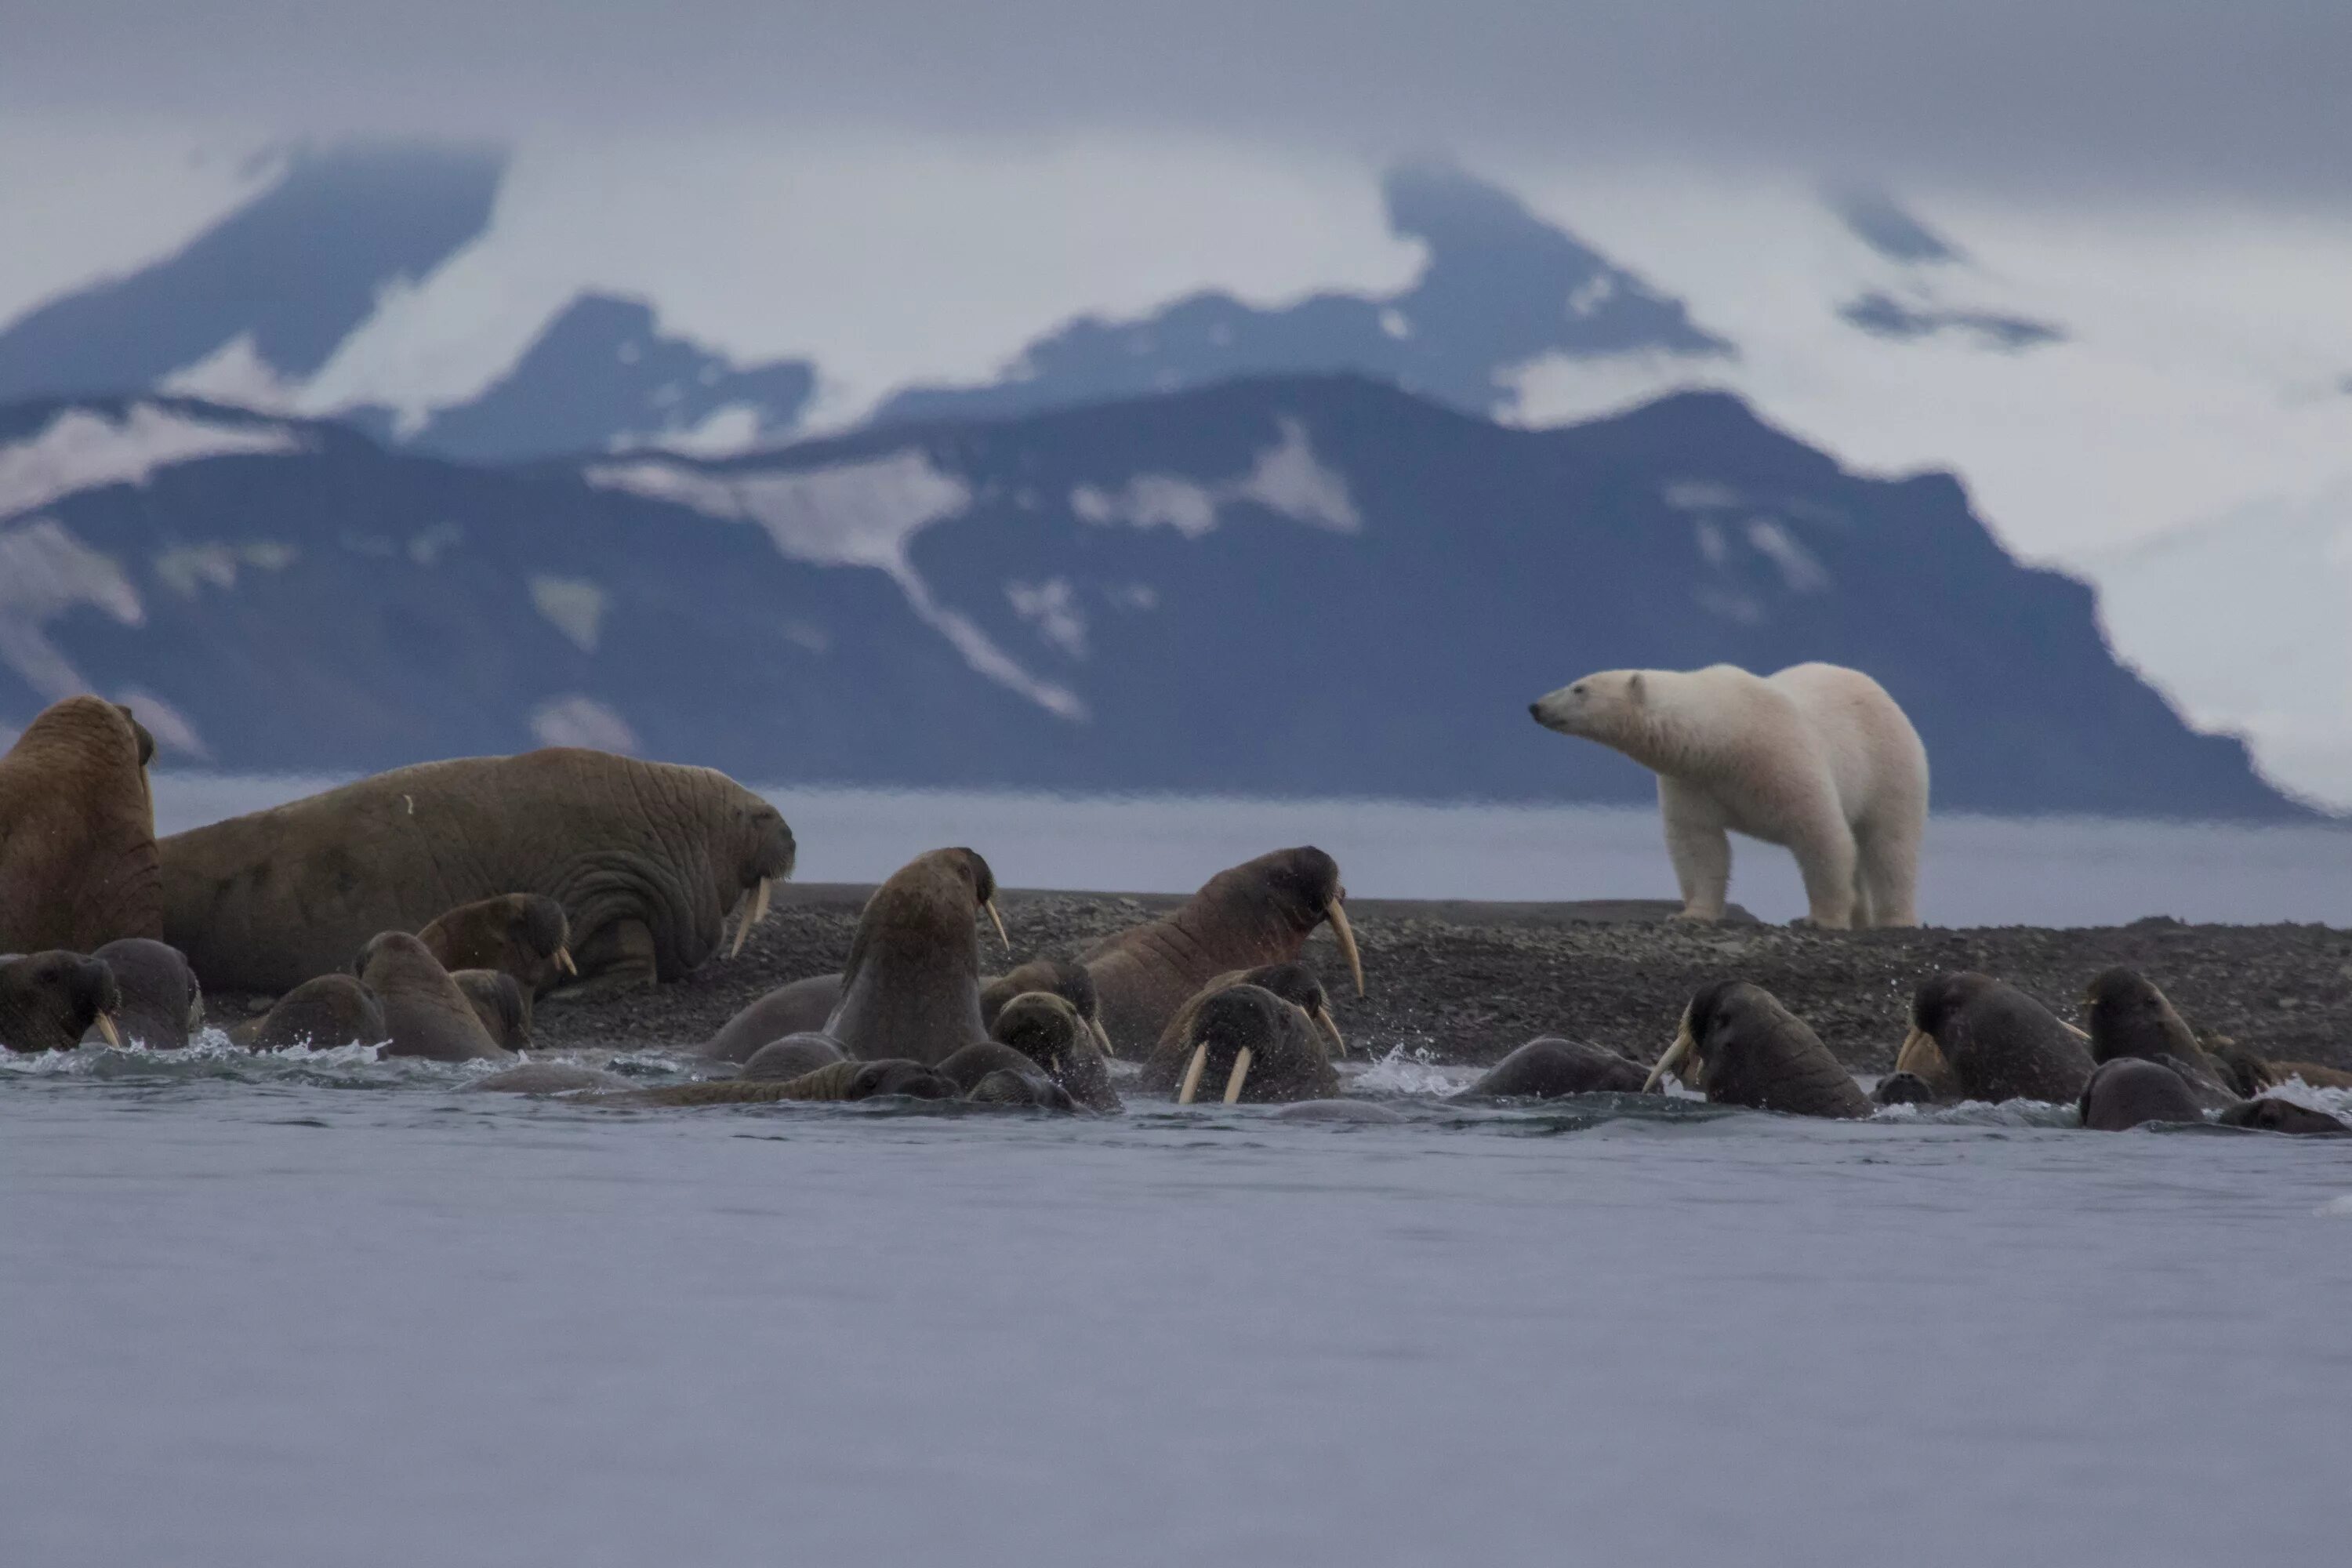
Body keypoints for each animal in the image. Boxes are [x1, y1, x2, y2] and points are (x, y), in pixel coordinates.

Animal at [1524, 667, 1929, 931]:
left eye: (1579, 688)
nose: (1536, 706)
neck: (1725, 735)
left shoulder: (1784, 756)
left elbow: (1820, 833)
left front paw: (1821, 918)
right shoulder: (1692, 779)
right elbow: (1697, 843)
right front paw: (1691, 914)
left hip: (1889, 765)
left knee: (1889, 844)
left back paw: (1896, 919)